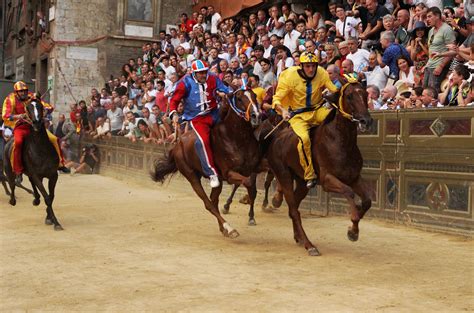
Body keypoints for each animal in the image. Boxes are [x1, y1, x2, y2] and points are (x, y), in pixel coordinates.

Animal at [152, 88, 262, 234]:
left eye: (255, 96)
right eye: (239, 98)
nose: (256, 116)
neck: (236, 138)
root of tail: (177, 145)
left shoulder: (250, 169)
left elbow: (252, 188)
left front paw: (251, 216)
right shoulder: (229, 173)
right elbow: (248, 183)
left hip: (217, 180)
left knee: (214, 200)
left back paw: (223, 228)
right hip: (192, 176)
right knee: (208, 203)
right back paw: (229, 228)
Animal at [264, 77, 372, 254]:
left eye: (365, 94)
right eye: (349, 96)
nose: (366, 120)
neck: (341, 142)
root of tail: (276, 138)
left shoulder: (354, 177)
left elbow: (367, 201)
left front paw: (352, 231)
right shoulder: (328, 179)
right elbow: (348, 192)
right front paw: (353, 229)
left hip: (303, 183)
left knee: (294, 207)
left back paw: (299, 238)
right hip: (284, 175)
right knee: (293, 209)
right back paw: (309, 245)